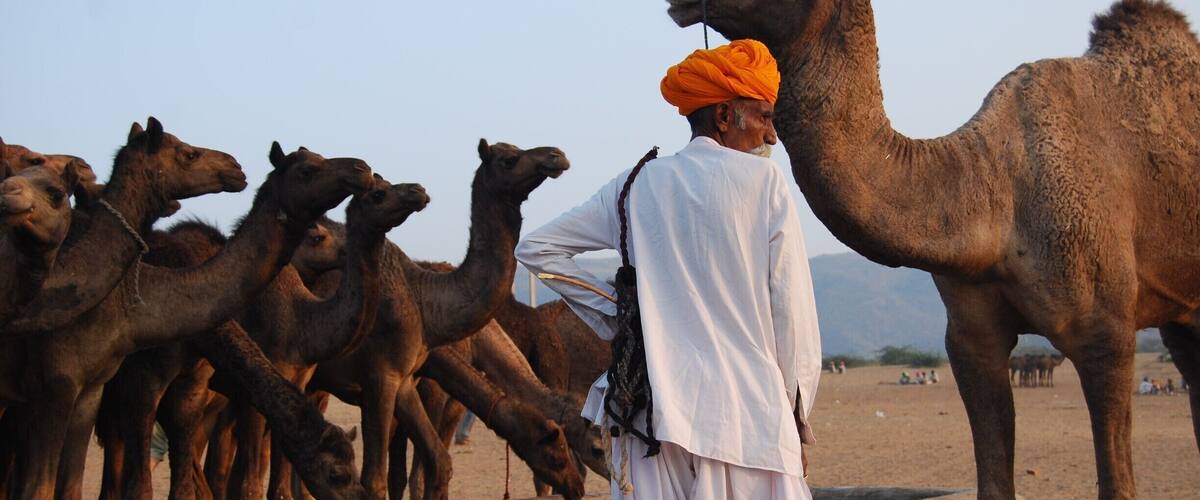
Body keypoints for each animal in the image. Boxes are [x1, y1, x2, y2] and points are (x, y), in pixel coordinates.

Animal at [0, 137, 373, 499]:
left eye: (352, 465)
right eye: (308, 170)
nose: (361, 168)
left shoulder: (200, 391)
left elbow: (191, 477)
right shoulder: (134, 381)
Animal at [307, 139, 572, 499]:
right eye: (509, 158)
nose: (556, 155)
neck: (426, 300)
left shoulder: (406, 382)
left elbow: (431, 465)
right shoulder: (383, 377)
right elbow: (383, 477)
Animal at [666, 0, 1200, 497]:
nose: (677, 5)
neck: (998, 195)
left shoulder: (1104, 330)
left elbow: (1117, 482)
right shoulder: (969, 337)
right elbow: (993, 481)